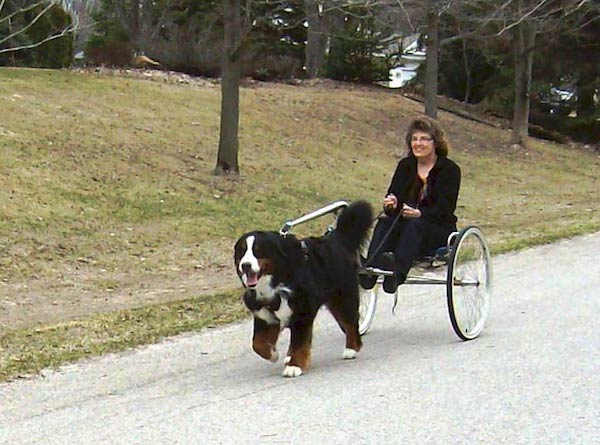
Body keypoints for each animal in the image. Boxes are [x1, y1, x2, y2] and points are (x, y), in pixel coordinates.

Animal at [233, 199, 370, 376]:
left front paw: (294, 366)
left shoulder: (302, 312)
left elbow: (299, 343)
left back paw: (351, 349)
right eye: (242, 252)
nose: (245, 265)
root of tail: (337, 238)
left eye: (258, 251)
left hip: (343, 298)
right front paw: (274, 354)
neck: (279, 277)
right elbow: (258, 344)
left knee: (351, 323)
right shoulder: (264, 315)